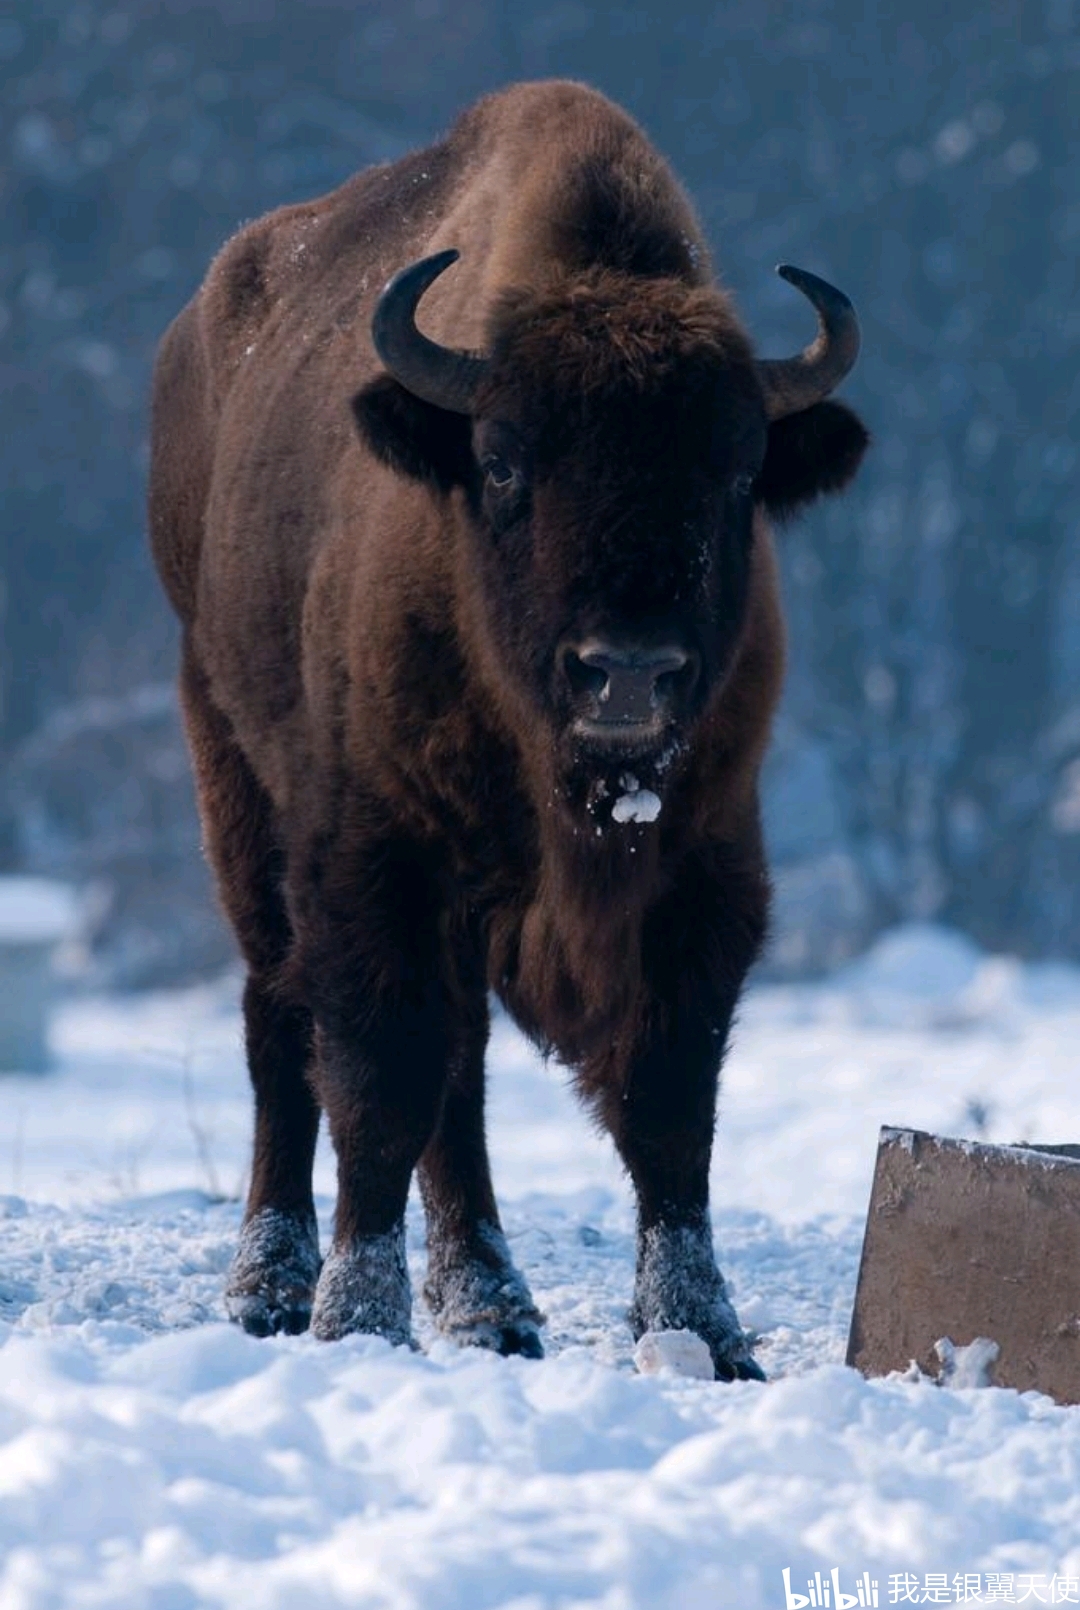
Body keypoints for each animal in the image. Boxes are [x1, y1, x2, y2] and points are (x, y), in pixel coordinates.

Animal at [148, 78, 869, 1384]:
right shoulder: (373, 862)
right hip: (230, 772)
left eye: (739, 470)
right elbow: (378, 1081)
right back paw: (271, 1284)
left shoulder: (704, 869)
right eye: (501, 461)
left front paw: (707, 1332)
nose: (627, 671)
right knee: (280, 1019)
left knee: (463, 1075)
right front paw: (357, 1316)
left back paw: (492, 1304)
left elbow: (669, 1108)